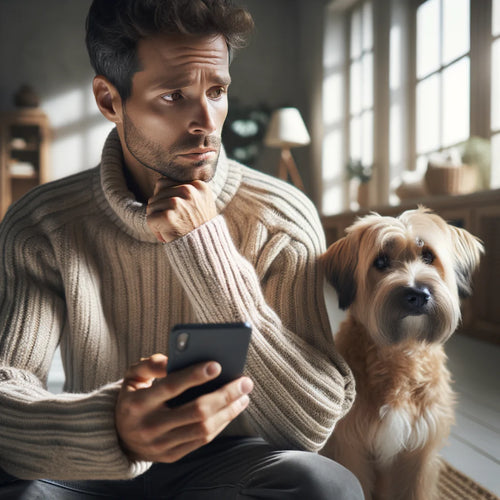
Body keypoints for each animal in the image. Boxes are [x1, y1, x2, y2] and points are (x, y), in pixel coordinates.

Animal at [320, 207, 484, 500]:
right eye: (381, 261)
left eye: (428, 256)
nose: (418, 294)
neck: (401, 353)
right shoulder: (351, 445)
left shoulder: (419, 454)